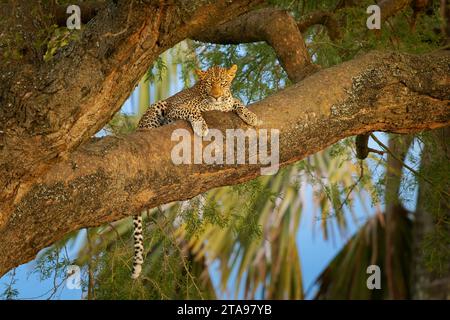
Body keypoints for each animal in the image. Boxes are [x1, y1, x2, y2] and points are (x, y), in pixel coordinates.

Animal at [131, 64, 260, 278]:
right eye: (209, 84)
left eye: (223, 83)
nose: (216, 96)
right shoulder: (178, 108)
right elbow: (194, 110)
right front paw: (201, 126)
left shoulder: (229, 101)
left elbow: (237, 102)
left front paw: (251, 116)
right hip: (157, 107)